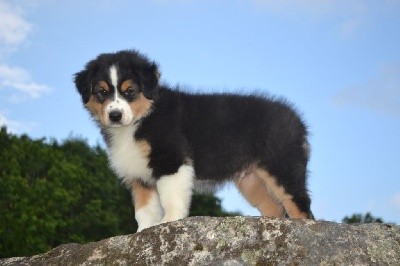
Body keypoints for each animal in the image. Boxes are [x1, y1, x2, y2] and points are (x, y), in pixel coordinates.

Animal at [74, 49, 312, 231]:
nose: (115, 115)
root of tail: (299, 122)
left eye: (129, 91)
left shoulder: (171, 160)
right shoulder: (139, 175)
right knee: (275, 208)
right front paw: (143, 231)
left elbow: (170, 197)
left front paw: (169, 222)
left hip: (281, 166)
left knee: (300, 203)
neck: (144, 117)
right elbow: (143, 209)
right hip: (252, 180)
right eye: (101, 92)